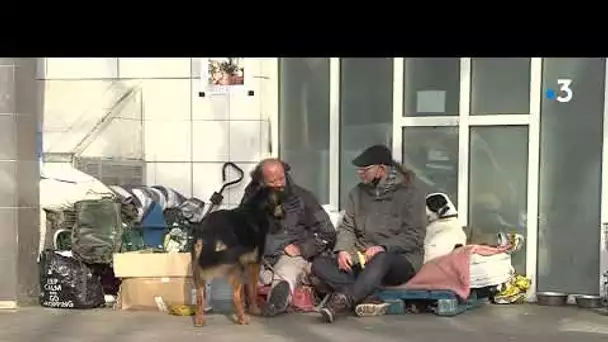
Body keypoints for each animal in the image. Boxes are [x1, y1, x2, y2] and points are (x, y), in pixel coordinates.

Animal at [190, 186, 284, 328]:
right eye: (280, 202)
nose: (285, 214)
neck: (255, 207)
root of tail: (208, 231)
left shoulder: (245, 265)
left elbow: (244, 292)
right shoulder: (254, 263)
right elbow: (252, 290)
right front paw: (254, 309)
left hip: (198, 269)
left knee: (200, 296)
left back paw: (199, 320)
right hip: (234, 265)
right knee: (234, 296)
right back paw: (243, 319)